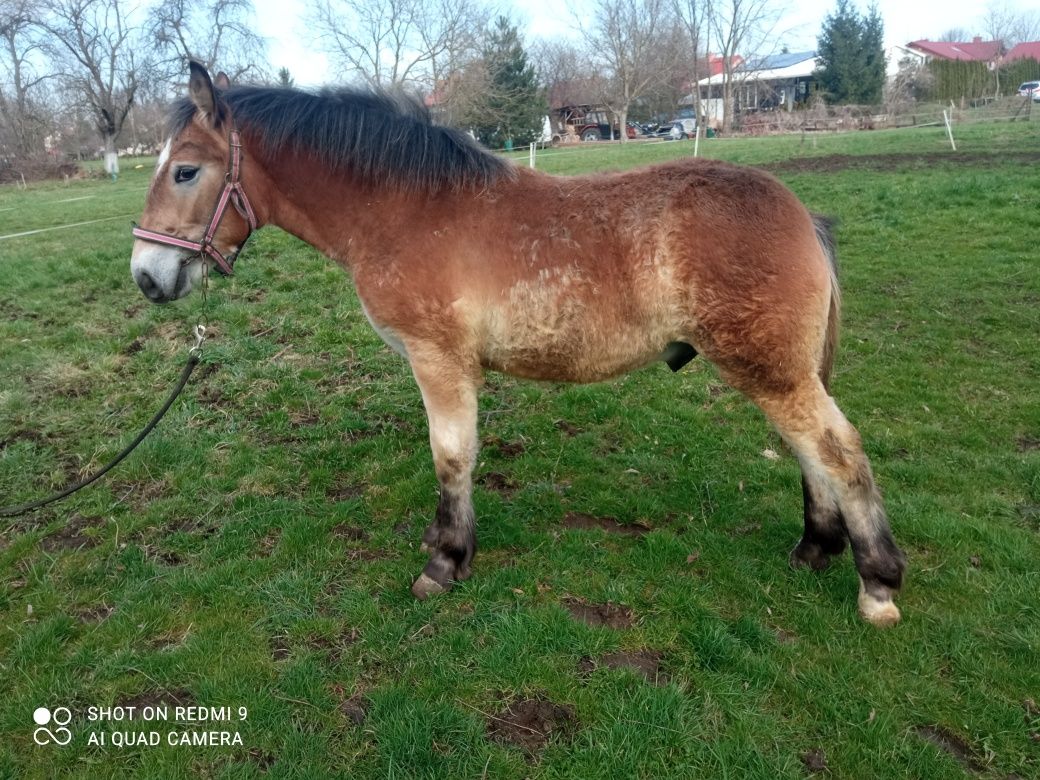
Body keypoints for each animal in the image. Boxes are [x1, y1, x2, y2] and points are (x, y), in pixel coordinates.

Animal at [130, 65, 906, 628]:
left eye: (185, 171)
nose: (147, 275)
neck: (406, 209)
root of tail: (803, 216)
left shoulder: (439, 361)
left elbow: (451, 455)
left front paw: (445, 561)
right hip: (780, 371)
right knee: (812, 451)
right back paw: (815, 548)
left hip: (770, 371)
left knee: (838, 450)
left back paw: (877, 584)